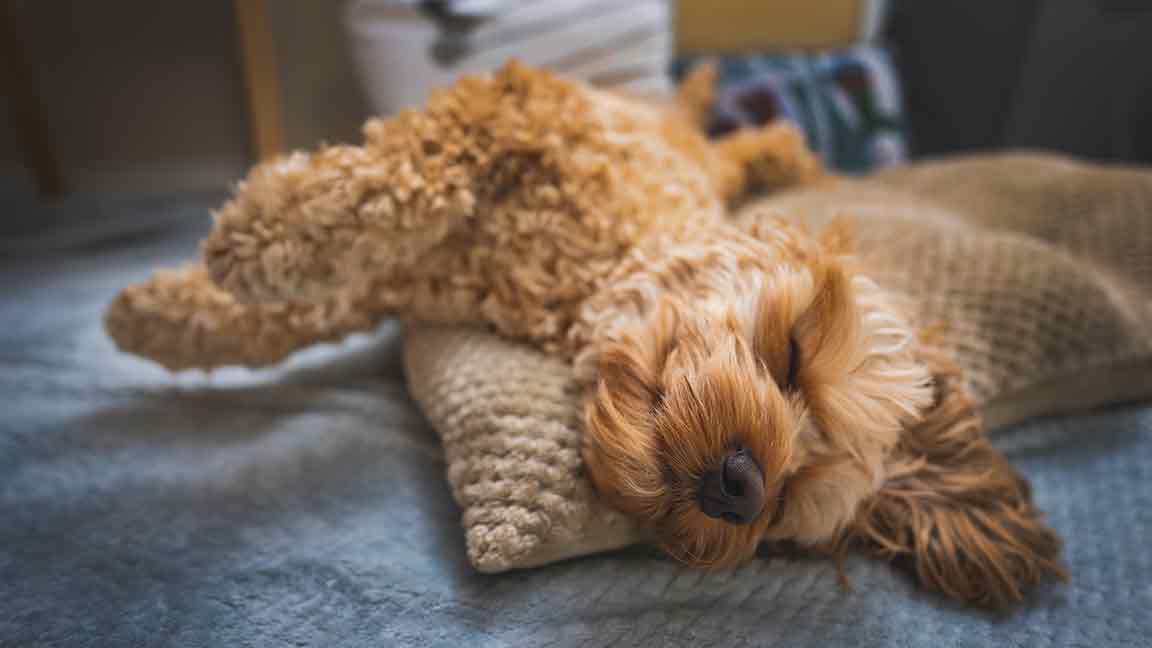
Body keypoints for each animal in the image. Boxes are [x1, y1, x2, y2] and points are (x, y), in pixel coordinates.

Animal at [105, 59, 1059, 604]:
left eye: (791, 501)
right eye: (792, 357)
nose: (743, 486)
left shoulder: (410, 282)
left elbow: (302, 302)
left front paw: (177, 306)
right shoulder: (522, 110)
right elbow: (405, 173)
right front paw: (255, 236)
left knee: (753, 141)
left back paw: (790, 153)